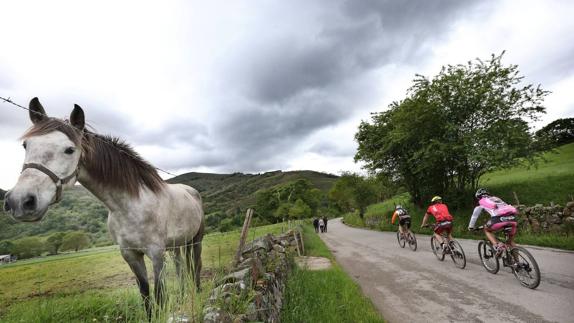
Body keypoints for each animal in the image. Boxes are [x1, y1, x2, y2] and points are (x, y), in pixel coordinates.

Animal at [1, 97, 205, 318]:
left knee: (196, 267)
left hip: (195, 241)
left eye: (69, 149)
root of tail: (191, 191)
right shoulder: (130, 255)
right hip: (176, 246)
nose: (20, 201)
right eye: (25, 145)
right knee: (181, 269)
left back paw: (197, 293)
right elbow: (145, 293)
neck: (130, 206)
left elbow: (159, 293)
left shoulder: (156, 253)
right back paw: (184, 297)